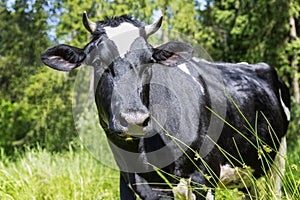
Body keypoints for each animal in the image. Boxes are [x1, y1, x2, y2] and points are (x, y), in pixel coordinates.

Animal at [41, 12, 290, 200]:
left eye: (149, 61)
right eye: (98, 61)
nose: (134, 119)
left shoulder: (204, 177)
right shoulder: (129, 183)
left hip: (277, 163)